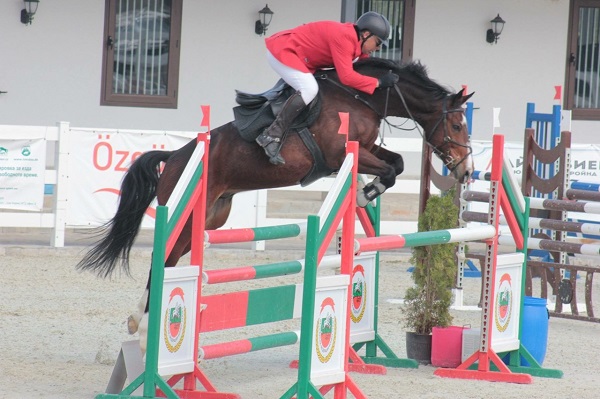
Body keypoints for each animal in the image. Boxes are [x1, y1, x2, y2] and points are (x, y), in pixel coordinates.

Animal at [77, 57, 476, 348]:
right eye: (457, 126)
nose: (466, 170)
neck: (362, 97)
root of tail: (176, 155)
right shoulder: (343, 154)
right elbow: (392, 168)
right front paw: (365, 193)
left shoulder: (365, 150)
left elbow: (397, 164)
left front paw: (367, 192)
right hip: (185, 212)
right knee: (164, 259)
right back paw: (144, 325)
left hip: (209, 220)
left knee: (173, 259)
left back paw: (145, 319)